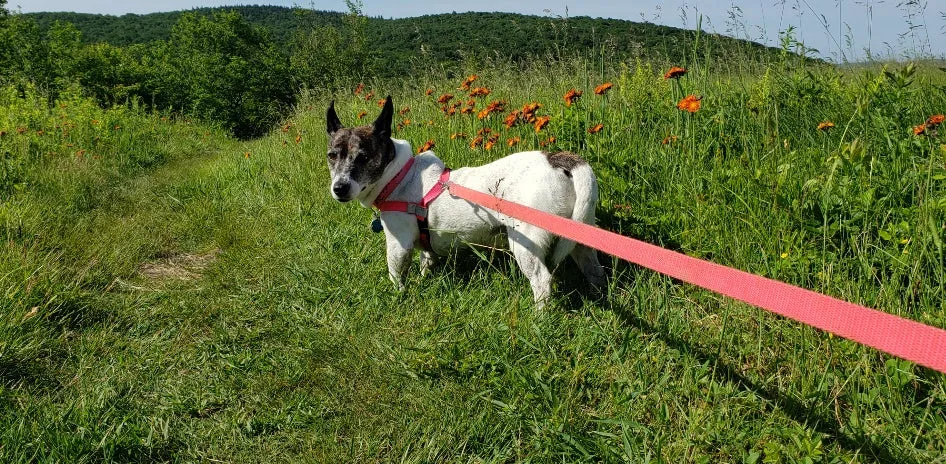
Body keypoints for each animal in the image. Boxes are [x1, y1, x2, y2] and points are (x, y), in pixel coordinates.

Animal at [324, 97, 604, 308]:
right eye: (331, 156)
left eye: (363, 157)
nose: (339, 188)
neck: (399, 174)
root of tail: (559, 160)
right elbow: (427, 258)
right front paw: (424, 279)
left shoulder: (398, 244)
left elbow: (395, 273)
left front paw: (398, 295)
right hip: (580, 236)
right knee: (594, 270)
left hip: (525, 242)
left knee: (542, 281)